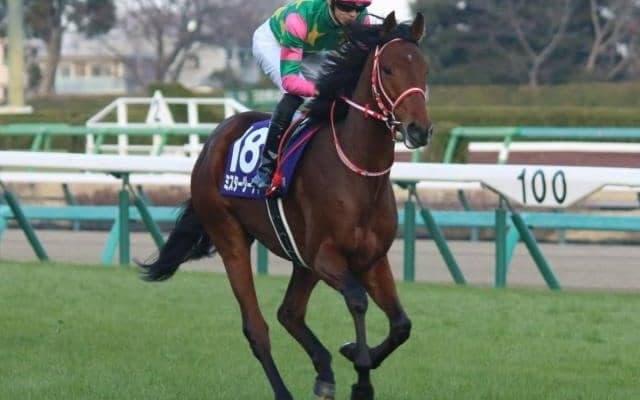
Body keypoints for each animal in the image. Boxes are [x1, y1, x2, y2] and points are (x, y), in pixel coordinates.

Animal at [139, 12, 432, 400]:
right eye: (387, 69)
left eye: (424, 69)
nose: (419, 130)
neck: (358, 171)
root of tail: (215, 138)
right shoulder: (326, 256)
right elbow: (357, 301)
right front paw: (361, 376)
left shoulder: (371, 259)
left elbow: (402, 324)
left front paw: (352, 353)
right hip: (230, 236)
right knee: (257, 327)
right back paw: (284, 389)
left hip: (300, 257)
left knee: (288, 312)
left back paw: (324, 370)